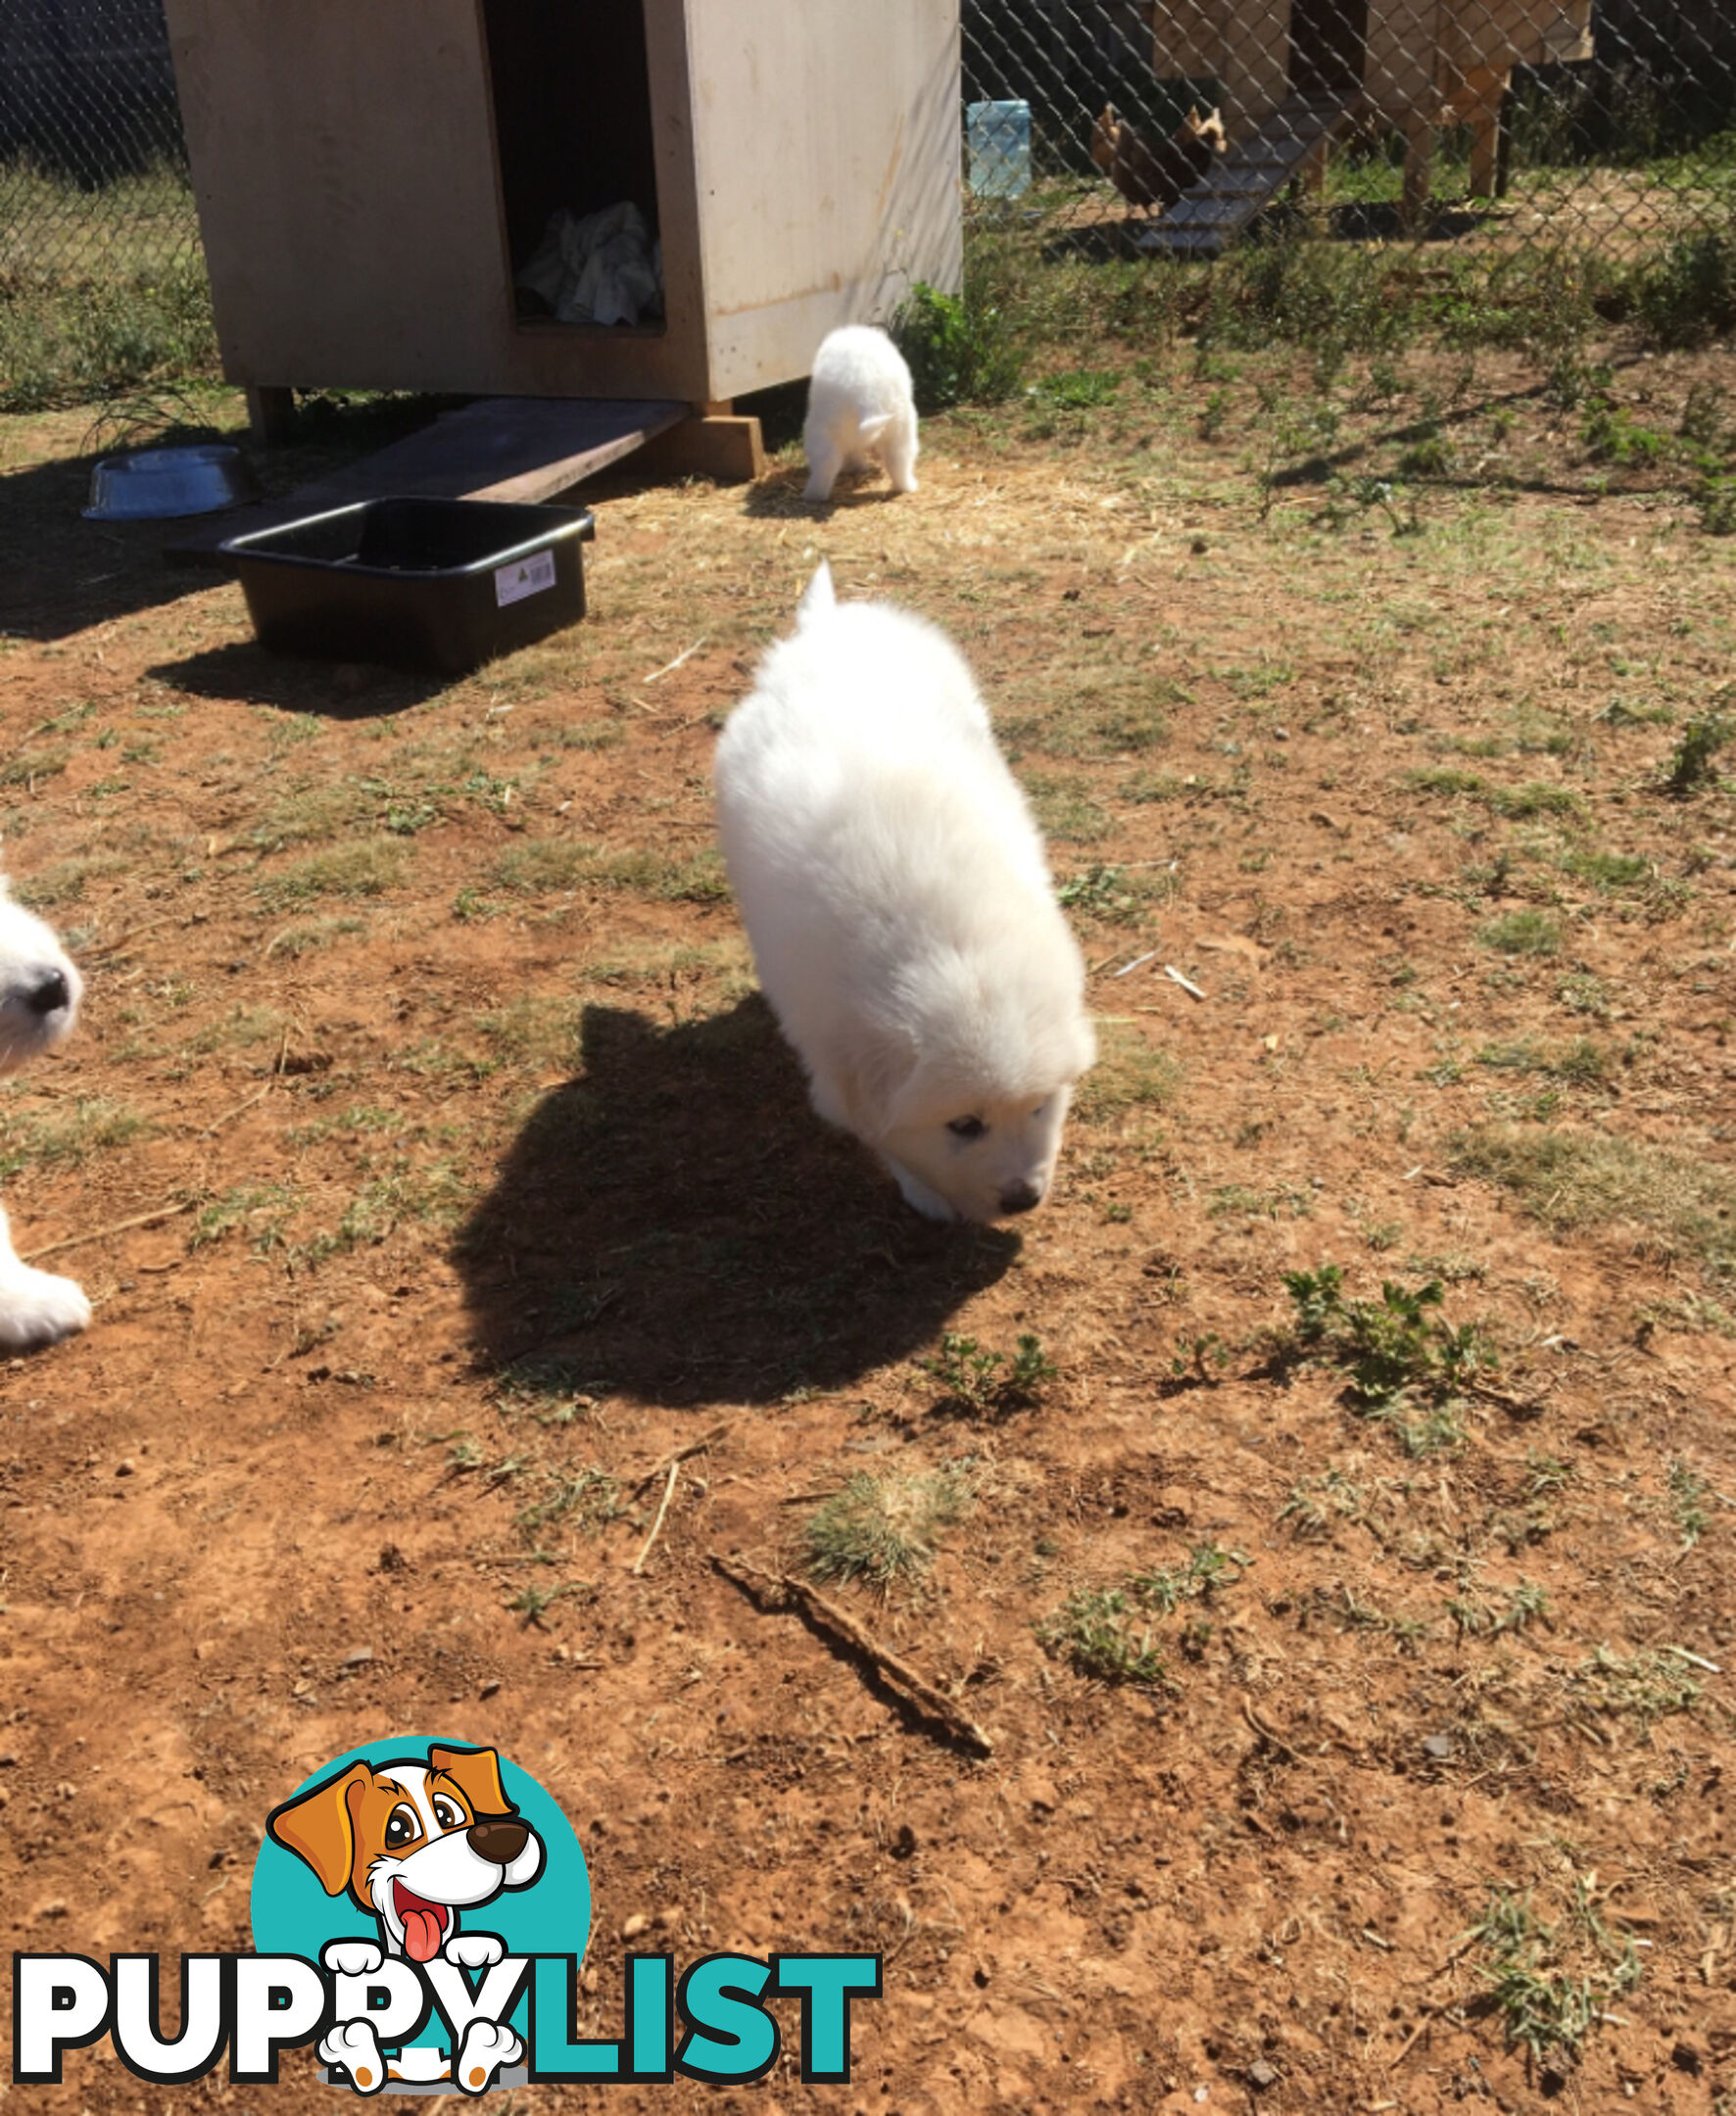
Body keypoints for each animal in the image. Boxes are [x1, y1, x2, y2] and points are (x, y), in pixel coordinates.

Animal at [706, 562, 1092, 1226]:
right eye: (964, 1125)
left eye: (1040, 1106)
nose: (1023, 1200)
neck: (952, 947)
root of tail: (825, 630)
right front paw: (925, 1192)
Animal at [804, 321, 923, 504]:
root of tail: (867, 392)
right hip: (900, 428)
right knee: (899, 461)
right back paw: (907, 486)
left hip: (821, 429)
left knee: (825, 465)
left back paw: (812, 495)